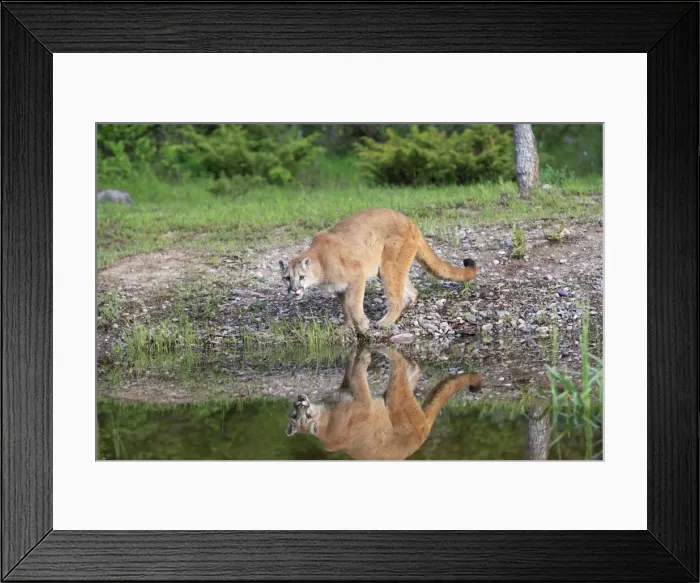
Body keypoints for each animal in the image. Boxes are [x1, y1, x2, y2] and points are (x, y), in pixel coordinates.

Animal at [278, 208, 477, 335]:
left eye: (301, 277)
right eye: (287, 278)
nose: (294, 290)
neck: (319, 262)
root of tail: (410, 222)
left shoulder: (357, 276)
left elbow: (353, 304)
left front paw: (363, 325)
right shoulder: (340, 288)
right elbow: (345, 307)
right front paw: (347, 327)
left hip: (389, 265)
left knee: (396, 297)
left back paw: (386, 321)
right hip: (388, 268)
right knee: (411, 291)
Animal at [285, 346, 482, 460]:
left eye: (304, 415)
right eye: (297, 415)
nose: (300, 401)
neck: (326, 419)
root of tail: (423, 434)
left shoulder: (351, 392)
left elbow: (353, 368)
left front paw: (358, 354)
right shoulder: (362, 399)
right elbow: (357, 371)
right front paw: (364, 357)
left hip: (395, 397)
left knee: (412, 367)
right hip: (396, 399)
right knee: (405, 366)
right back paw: (387, 350)